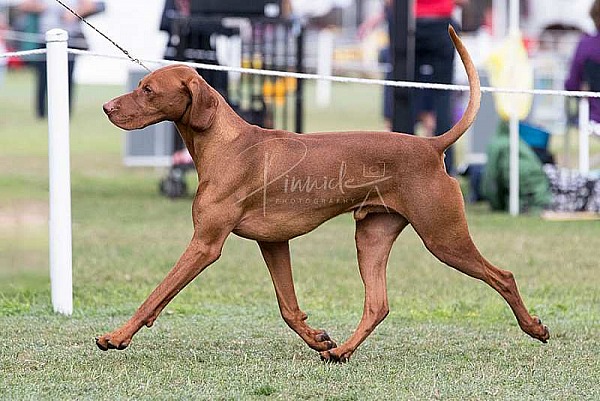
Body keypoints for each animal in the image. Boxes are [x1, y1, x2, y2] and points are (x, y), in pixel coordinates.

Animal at [98, 26, 548, 360]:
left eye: (148, 90)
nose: (106, 107)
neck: (226, 144)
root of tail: (431, 145)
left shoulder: (205, 244)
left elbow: (156, 293)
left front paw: (116, 337)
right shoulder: (273, 242)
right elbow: (288, 307)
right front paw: (317, 339)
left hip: (443, 237)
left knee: (502, 275)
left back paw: (534, 328)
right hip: (371, 236)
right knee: (378, 304)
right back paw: (341, 351)